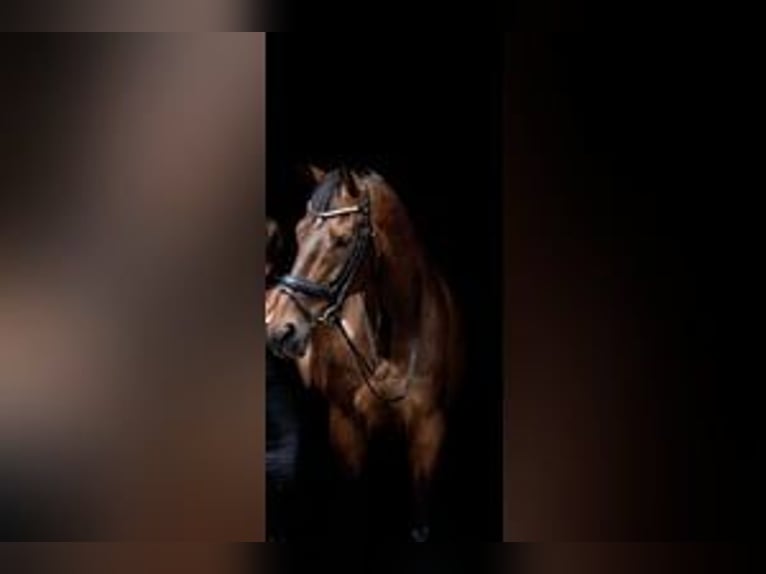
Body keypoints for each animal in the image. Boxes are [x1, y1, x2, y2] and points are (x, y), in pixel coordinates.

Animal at [265, 166, 462, 541]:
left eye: (343, 239)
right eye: (298, 233)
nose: (280, 330)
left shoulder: (429, 428)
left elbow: (420, 524)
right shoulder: (346, 426)